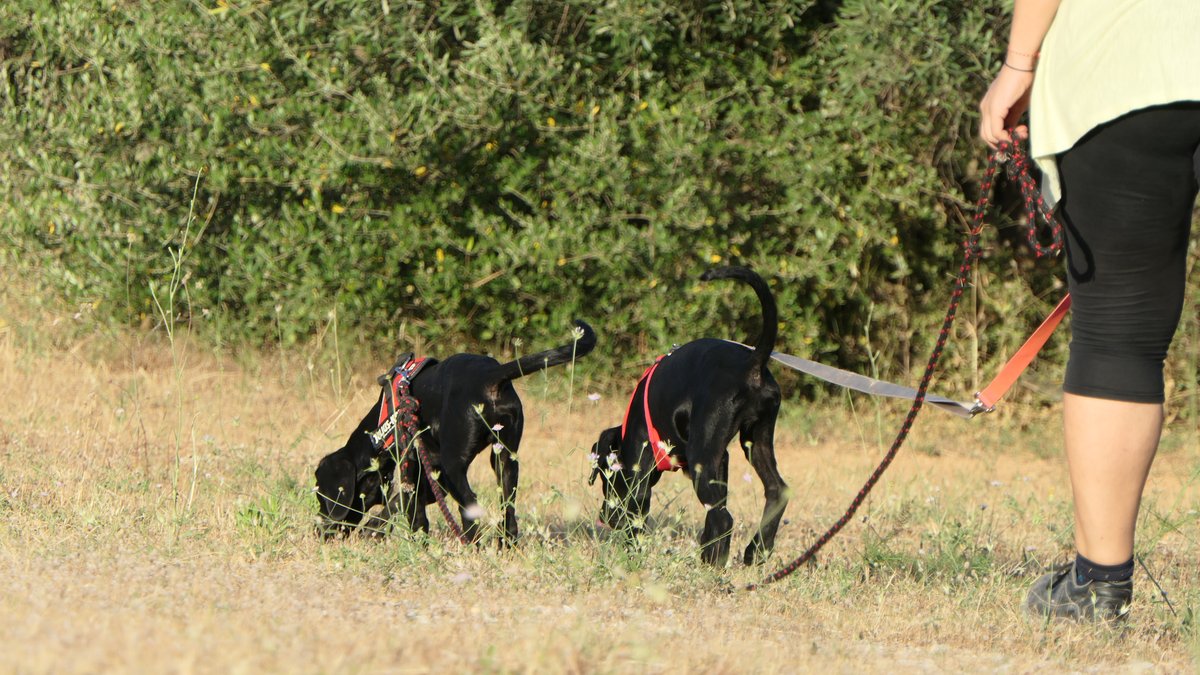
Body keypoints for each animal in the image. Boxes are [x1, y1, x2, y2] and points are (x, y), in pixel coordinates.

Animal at [315, 319, 597, 543]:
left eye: (321, 497)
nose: (320, 531)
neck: (383, 428)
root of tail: (490, 375)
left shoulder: (417, 468)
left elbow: (409, 513)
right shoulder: (429, 476)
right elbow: (403, 506)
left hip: (454, 466)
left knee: (470, 512)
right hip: (505, 460)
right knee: (509, 513)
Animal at [590, 266, 788, 566]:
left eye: (605, 476)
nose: (605, 517)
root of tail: (752, 363)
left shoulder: (639, 472)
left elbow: (636, 513)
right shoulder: (721, 459)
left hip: (700, 457)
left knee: (725, 519)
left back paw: (713, 564)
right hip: (756, 439)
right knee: (776, 491)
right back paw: (755, 551)